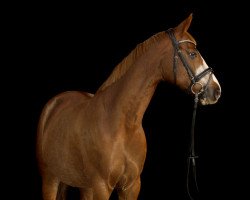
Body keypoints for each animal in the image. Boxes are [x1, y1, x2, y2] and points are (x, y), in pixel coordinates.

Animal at [36, 13, 221, 199]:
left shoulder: (132, 185)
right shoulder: (101, 186)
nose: (216, 90)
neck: (121, 124)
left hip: (84, 186)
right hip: (50, 180)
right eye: (192, 54)